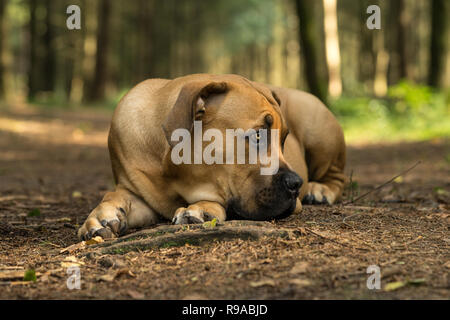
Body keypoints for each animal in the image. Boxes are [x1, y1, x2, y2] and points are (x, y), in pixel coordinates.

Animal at [77, 74, 346, 239]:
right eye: (258, 135)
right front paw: (100, 216)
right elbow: (115, 196)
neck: (172, 170)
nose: (296, 183)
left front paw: (200, 208)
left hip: (317, 123)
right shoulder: (137, 192)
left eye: (284, 140)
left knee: (337, 177)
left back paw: (320, 189)